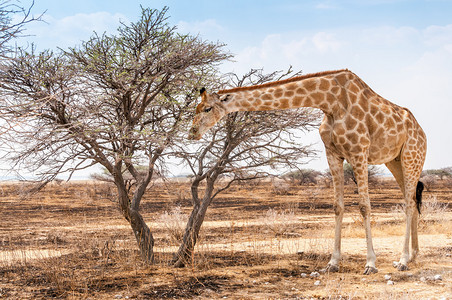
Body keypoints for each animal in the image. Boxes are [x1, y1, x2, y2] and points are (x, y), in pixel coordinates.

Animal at [188, 68, 428, 274]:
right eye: (196, 109)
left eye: (207, 108)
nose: (192, 132)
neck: (330, 102)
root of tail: (422, 132)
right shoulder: (332, 153)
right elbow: (338, 206)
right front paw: (332, 263)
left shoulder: (359, 151)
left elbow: (364, 206)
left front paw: (370, 264)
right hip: (394, 162)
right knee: (411, 200)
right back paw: (413, 255)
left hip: (411, 157)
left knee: (408, 203)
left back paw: (403, 260)